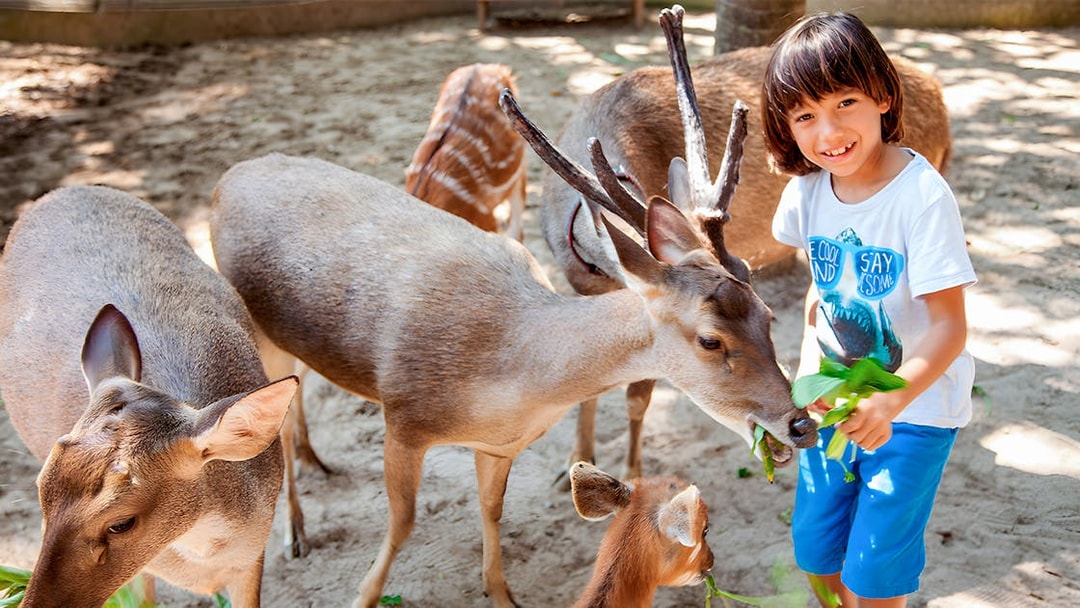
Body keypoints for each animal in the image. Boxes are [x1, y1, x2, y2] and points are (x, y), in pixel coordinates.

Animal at [540, 4, 953, 487]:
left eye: (767, 314)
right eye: (709, 340)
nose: (800, 426)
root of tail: (941, 98)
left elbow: (636, 398)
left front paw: (633, 477)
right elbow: (587, 384)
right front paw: (573, 465)